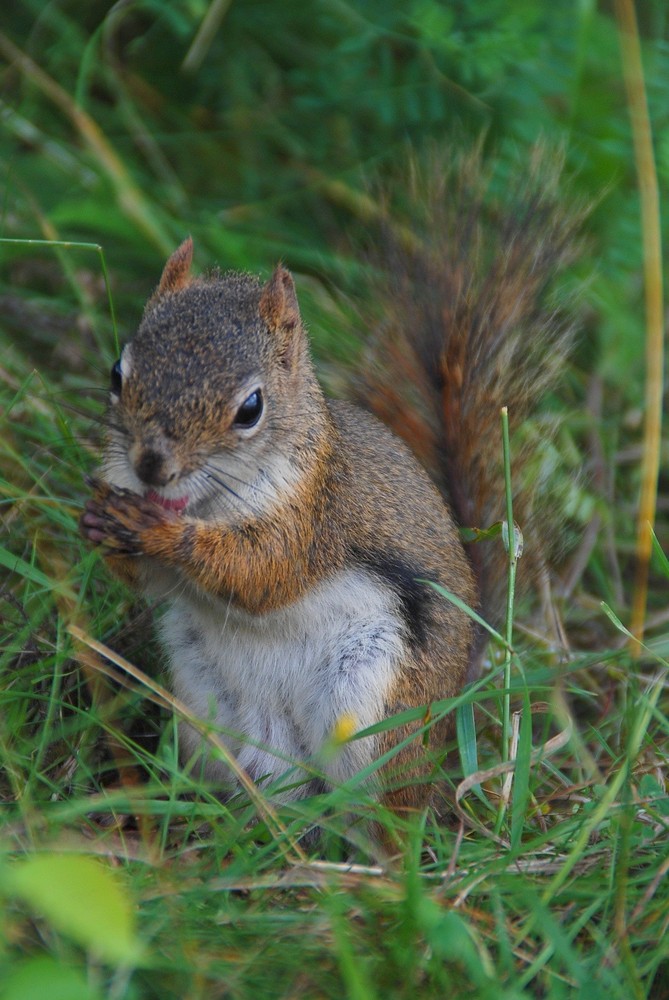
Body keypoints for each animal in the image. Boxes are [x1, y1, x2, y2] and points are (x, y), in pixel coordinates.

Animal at [79, 156, 580, 824]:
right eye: (117, 373)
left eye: (251, 408)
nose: (151, 467)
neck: (207, 502)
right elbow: (149, 581)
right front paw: (97, 520)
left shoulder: (313, 519)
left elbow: (262, 573)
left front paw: (166, 533)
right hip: (217, 716)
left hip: (374, 707)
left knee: (382, 810)